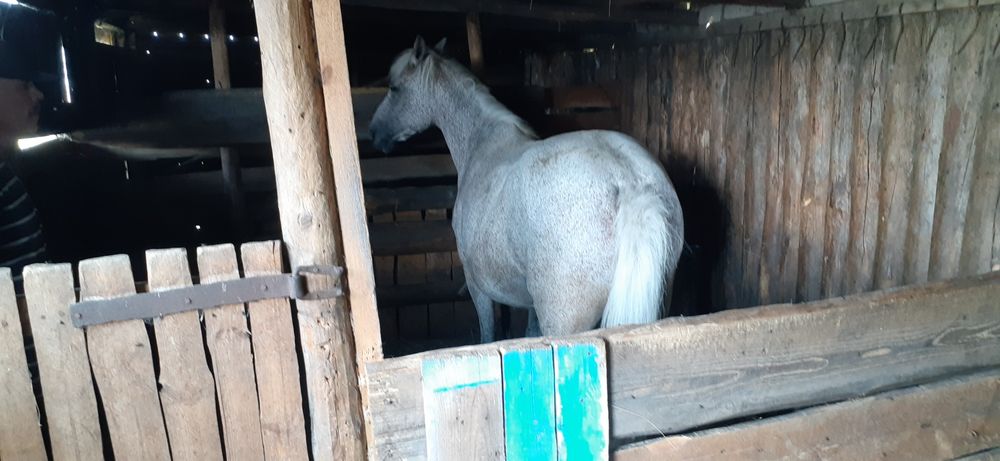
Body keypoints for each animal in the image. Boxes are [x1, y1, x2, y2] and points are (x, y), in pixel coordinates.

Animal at [369, 37, 684, 342]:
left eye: (394, 88)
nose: (374, 133)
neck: (482, 144)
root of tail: (627, 179)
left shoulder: (477, 287)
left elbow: (488, 334)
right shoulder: (530, 303)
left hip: (563, 321)